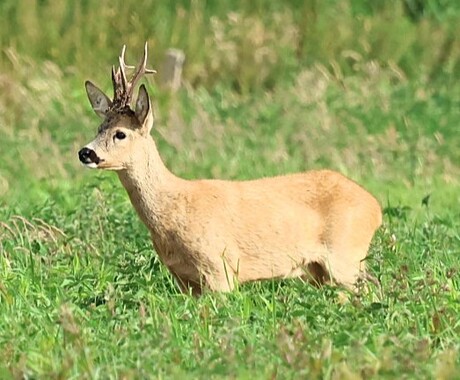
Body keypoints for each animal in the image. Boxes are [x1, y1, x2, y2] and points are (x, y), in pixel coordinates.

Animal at [78, 43, 380, 296]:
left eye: (120, 134)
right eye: (99, 128)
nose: (86, 152)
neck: (173, 209)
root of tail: (375, 206)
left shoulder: (220, 268)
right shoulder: (185, 280)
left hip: (345, 255)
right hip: (322, 270)